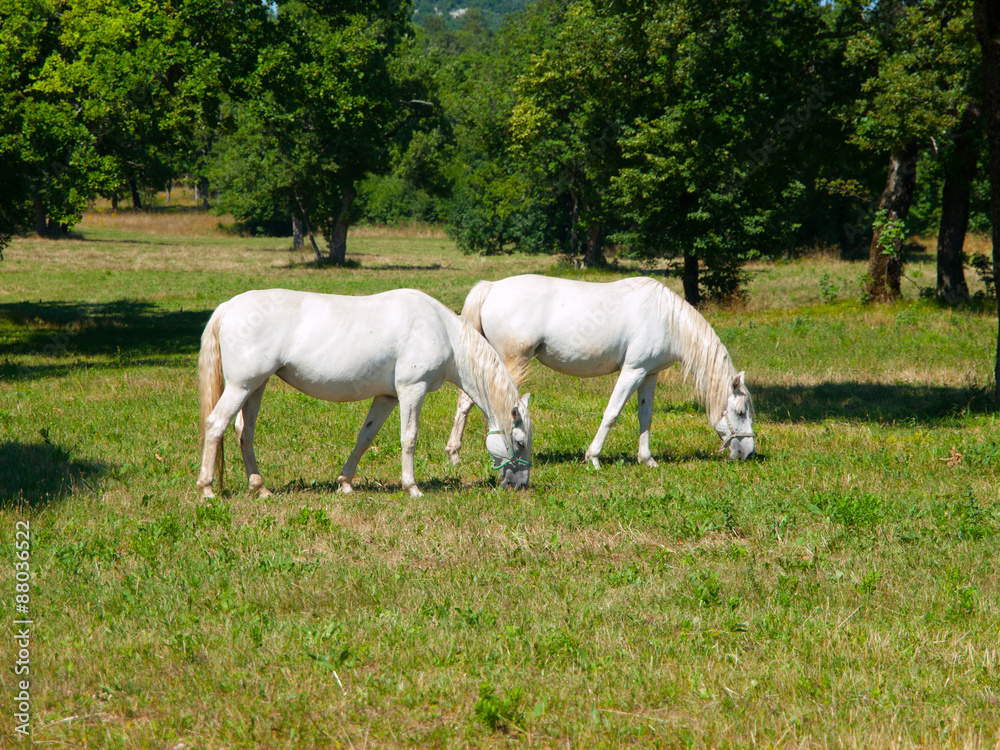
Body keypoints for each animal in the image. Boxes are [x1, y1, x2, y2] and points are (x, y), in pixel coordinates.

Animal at [198, 288, 536, 500]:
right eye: (519, 442)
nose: (520, 485)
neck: (443, 331)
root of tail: (228, 307)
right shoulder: (412, 390)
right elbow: (409, 438)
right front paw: (412, 488)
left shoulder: (387, 397)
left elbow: (365, 437)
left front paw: (345, 483)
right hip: (241, 386)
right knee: (216, 425)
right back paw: (207, 489)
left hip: (256, 387)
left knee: (244, 432)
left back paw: (260, 488)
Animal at [446, 276, 752, 470]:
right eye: (740, 412)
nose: (749, 453)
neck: (667, 318)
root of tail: (491, 287)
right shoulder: (632, 371)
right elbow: (612, 413)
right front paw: (593, 457)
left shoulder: (649, 375)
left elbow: (645, 416)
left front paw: (647, 459)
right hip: (511, 362)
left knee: (465, 402)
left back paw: (454, 454)